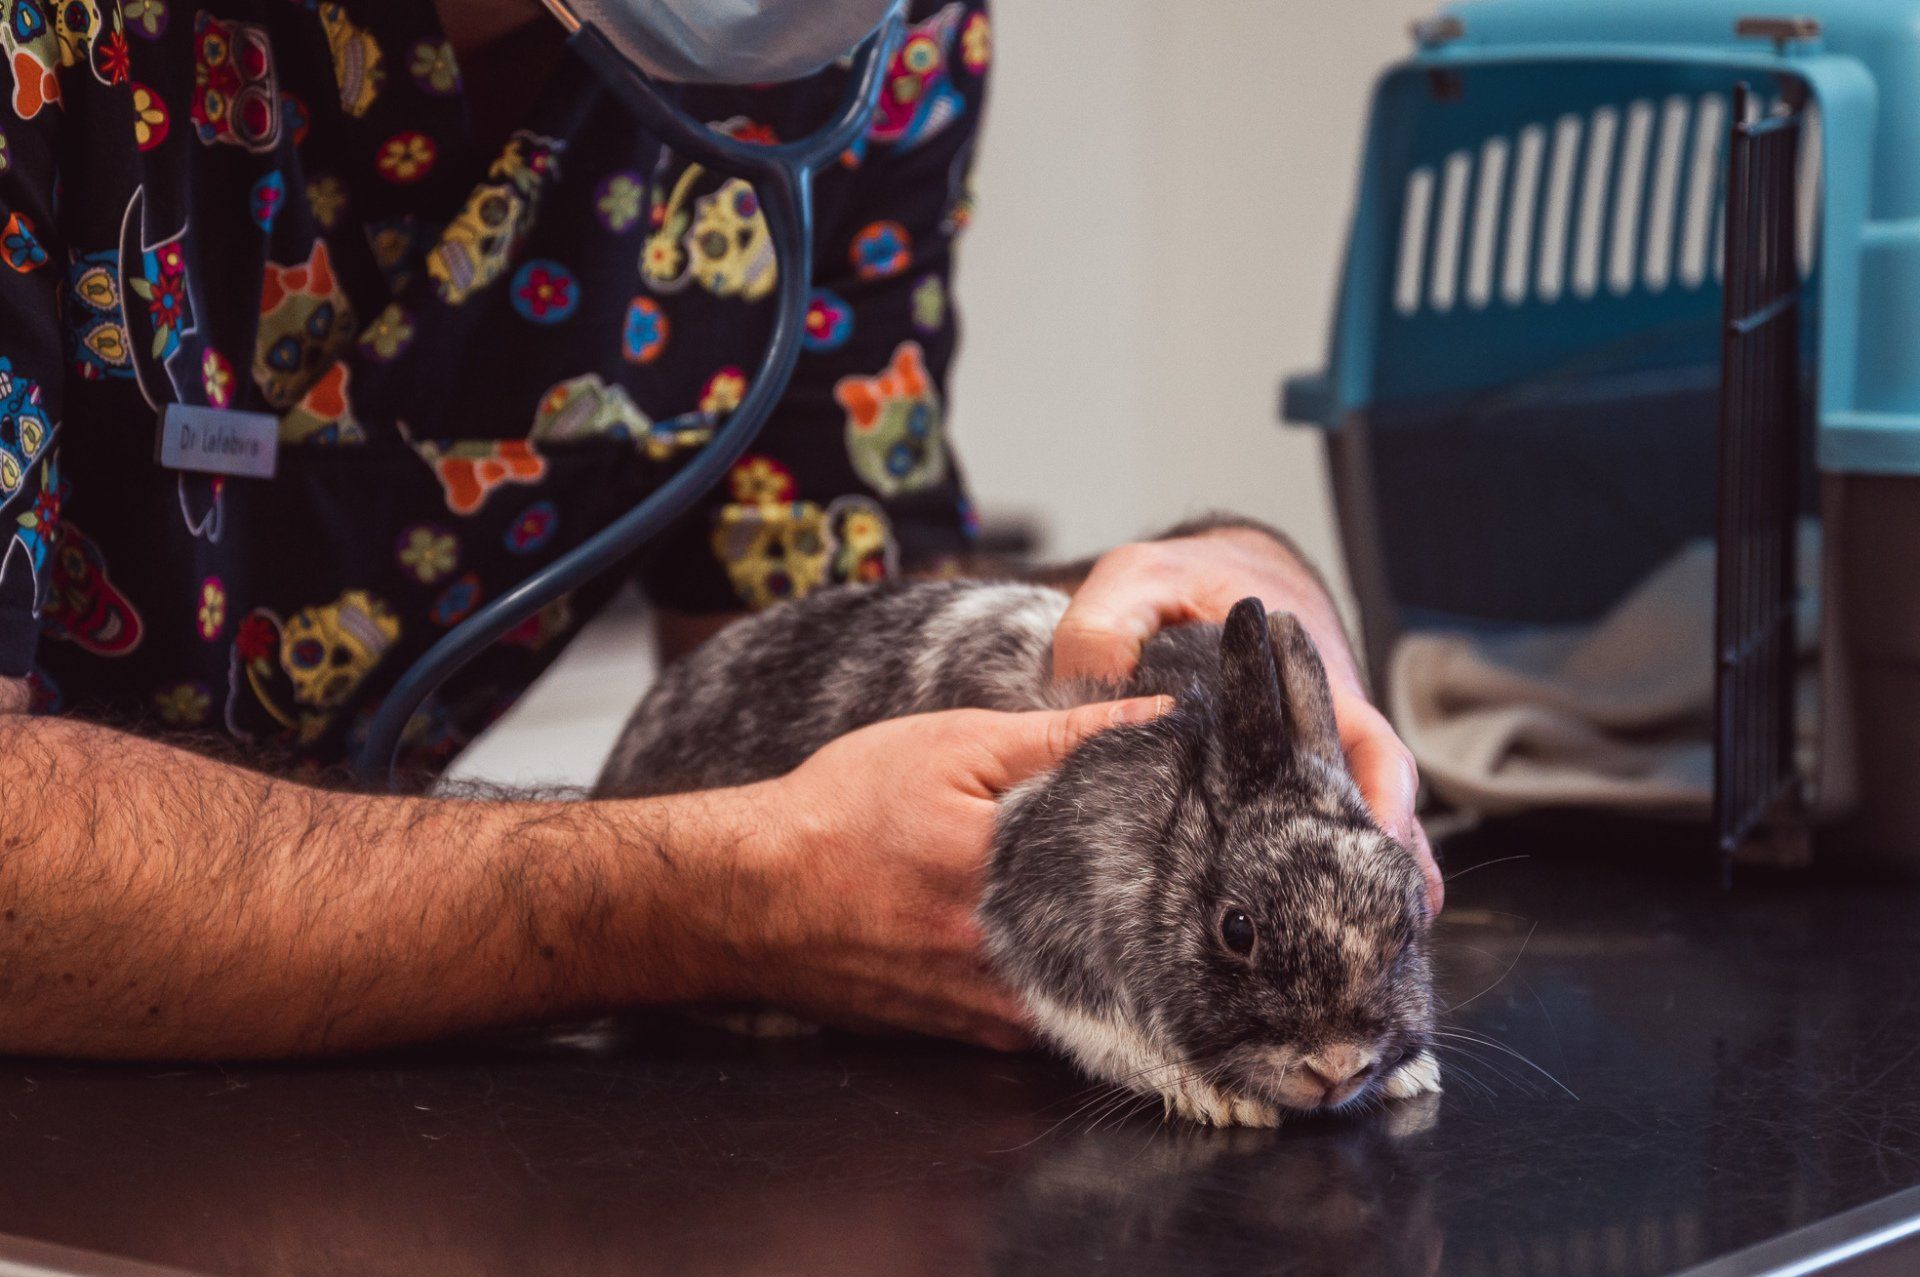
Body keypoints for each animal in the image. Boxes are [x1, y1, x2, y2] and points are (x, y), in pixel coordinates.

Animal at [596, 578, 1439, 1127]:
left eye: (1407, 927)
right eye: (1239, 929)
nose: (1337, 1067)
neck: (1172, 815)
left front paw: (1410, 1076)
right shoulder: (1039, 905)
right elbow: (1098, 1022)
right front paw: (1212, 1093)